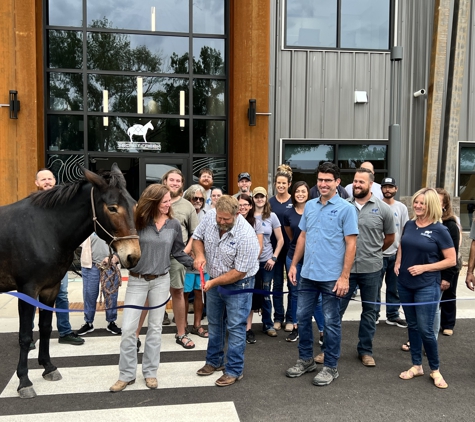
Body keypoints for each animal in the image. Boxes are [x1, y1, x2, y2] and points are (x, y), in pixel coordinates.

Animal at [0, 163, 141, 398]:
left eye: (134, 205)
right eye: (112, 208)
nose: (133, 256)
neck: (45, 229)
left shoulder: (50, 288)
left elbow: (45, 327)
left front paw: (48, 367)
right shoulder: (28, 290)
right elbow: (26, 335)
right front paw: (24, 381)